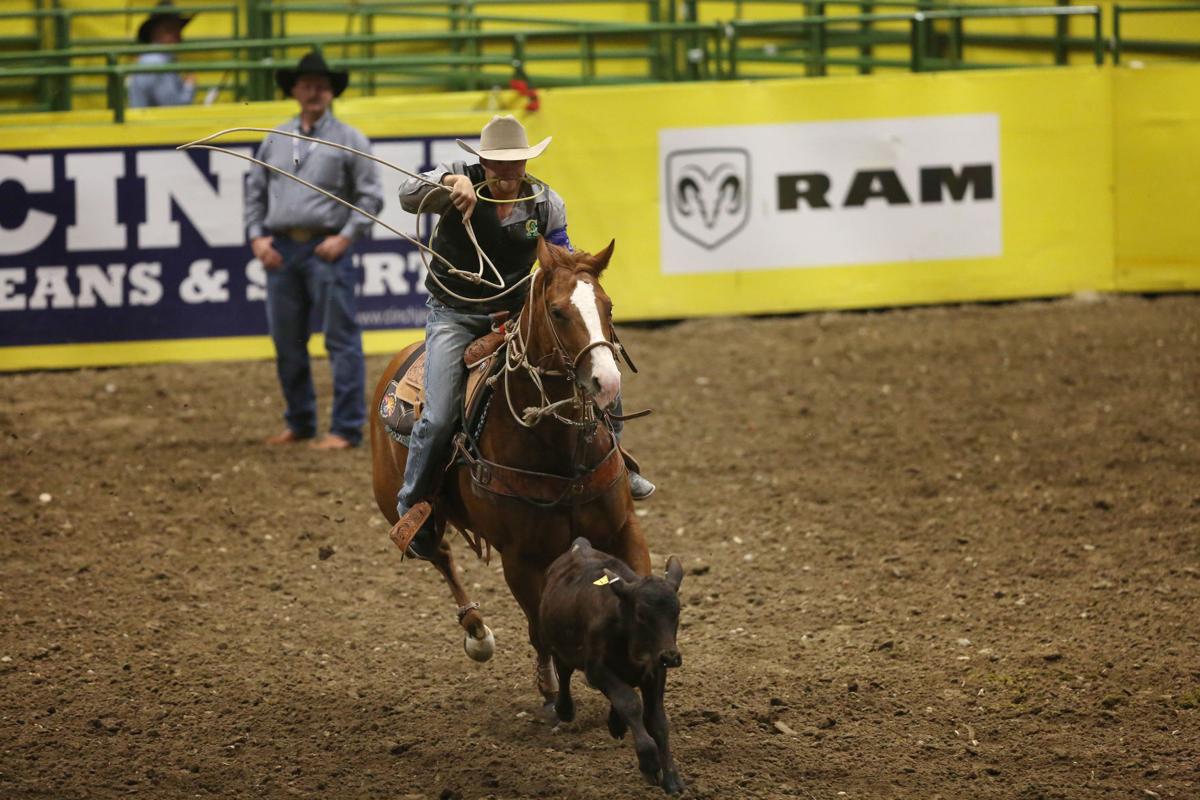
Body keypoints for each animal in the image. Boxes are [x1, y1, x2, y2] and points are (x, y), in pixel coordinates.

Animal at [369, 239, 652, 705]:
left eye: (608, 306)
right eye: (557, 312)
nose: (606, 382)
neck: (558, 447)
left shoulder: (623, 527)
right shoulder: (519, 558)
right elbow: (539, 629)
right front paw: (551, 689)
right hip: (399, 504)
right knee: (438, 551)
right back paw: (477, 633)